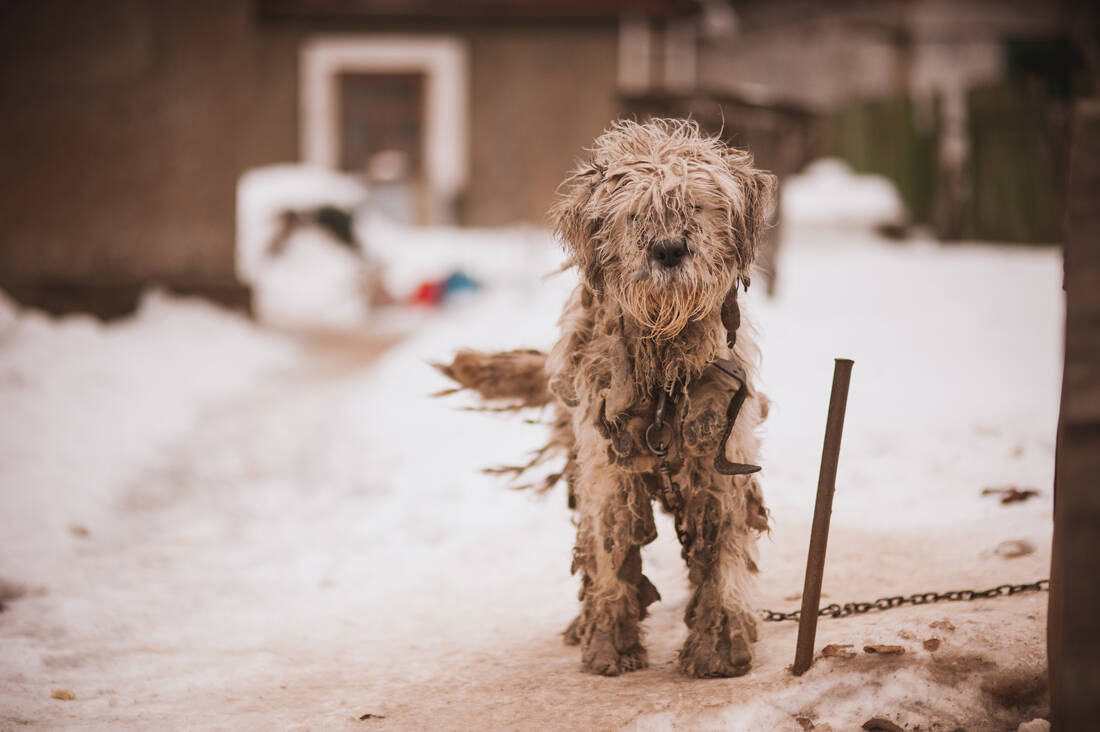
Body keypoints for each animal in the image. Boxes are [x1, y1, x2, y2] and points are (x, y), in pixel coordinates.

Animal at [437, 118, 774, 673]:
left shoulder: (718, 456)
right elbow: (612, 550)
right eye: (634, 212)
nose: (668, 249)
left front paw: (717, 645)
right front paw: (610, 644)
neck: (662, 369)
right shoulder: (609, 466)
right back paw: (584, 624)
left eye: (697, 205)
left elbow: (721, 553)